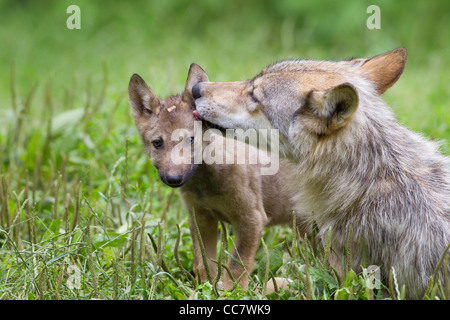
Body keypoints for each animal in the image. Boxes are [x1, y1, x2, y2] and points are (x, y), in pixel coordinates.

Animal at [193, 48, 450, 298]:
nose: (196, 89)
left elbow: (266, 284)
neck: (367, 175)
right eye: (251, 80)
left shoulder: (343, 282)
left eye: (254, 96)